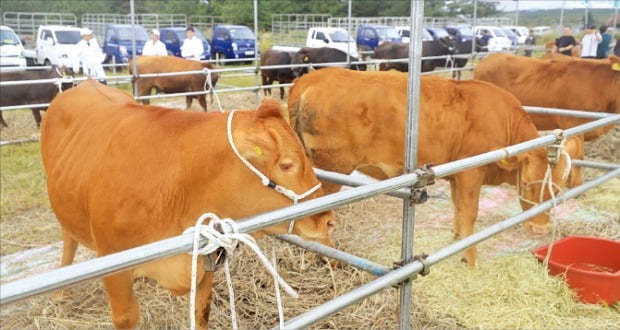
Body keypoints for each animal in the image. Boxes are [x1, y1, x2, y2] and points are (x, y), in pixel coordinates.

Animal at [290, 68, 572, 266]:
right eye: (525, 183)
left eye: (557, 189)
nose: (540, 229)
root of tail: (311, 79)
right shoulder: (471, 173)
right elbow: (469, 213)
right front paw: (471, 260)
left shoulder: (458, 176)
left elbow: (458, 210)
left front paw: (457, 243)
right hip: (330, 172)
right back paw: (329, 259)